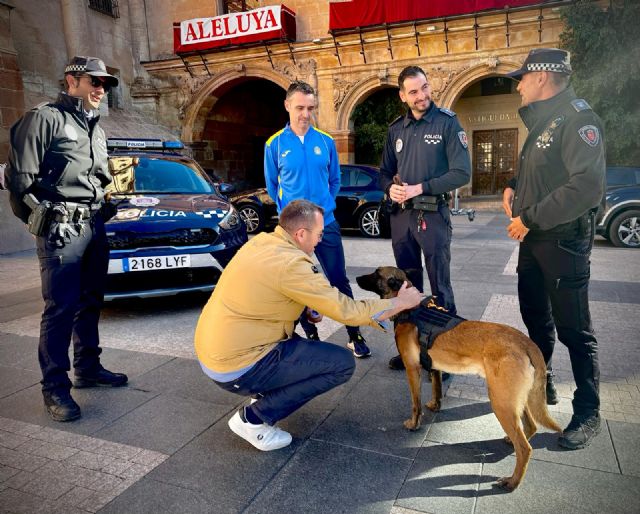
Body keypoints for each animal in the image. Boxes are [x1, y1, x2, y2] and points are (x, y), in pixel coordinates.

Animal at [356, 264, 560, 488]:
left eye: (376, 274)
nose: (355, 278)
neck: (411, 310)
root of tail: (526, 342)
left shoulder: (412, 369)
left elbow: (415, 404)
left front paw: (414, 424)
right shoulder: (435, 368)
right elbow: (436, 390)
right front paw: (434, 405)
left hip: (501, 402)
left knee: (524, 448)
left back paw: (512, 481)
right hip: (514, 399)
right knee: (530, 426)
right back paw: (511, 443)